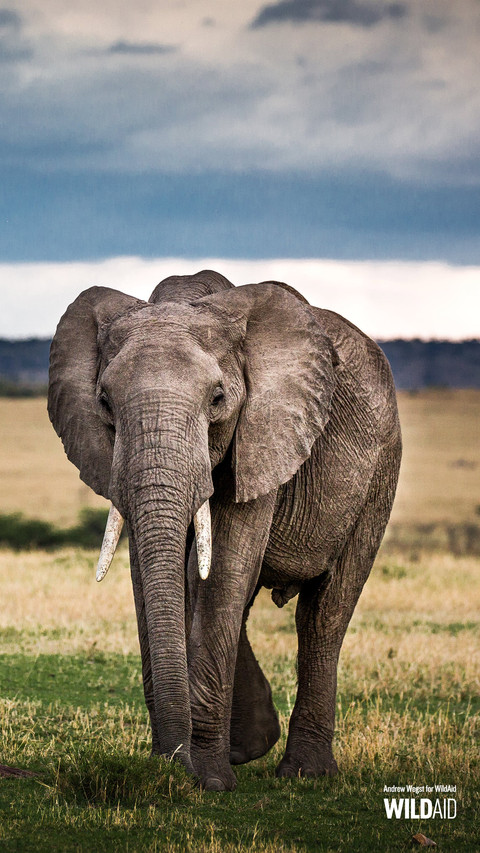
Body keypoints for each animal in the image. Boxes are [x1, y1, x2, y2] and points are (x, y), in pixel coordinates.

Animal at [48, 269, 401, 792]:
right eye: (104, 402)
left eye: (217, 400)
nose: (173, 769)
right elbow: (154, 578)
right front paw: (180, 769)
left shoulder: (262, 431)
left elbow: (224, 572)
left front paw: (209, 781)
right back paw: (249, 748)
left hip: (381, 472)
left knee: (323, 613)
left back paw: (305, 775)